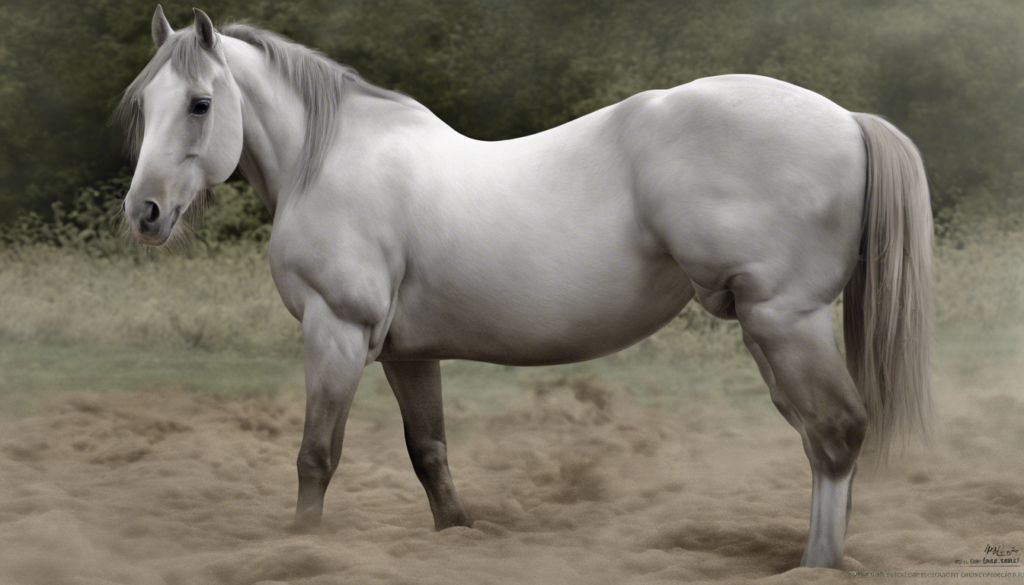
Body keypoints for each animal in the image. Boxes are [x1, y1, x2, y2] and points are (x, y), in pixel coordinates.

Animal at [116, 6, 934, 569]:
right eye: (142, 106)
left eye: (199, 103)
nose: (144, 213)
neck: (329, 160)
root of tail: (846, 119)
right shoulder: (407, 352)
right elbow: (430, 454)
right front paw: (455, 537)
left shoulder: (336, 333)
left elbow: (317, 454)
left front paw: (302, 549)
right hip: (773, 328)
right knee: (819, 437)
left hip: (784, 321)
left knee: (835, 432)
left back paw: (816, 564)